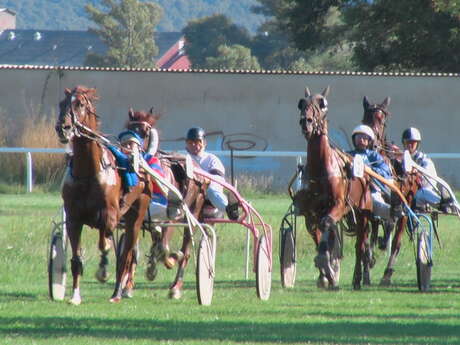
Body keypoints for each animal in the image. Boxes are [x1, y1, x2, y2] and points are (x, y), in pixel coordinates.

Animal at [55, 86, 153, 304]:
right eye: (61, 103)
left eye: (80, 104)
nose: (63, 127)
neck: (87, 173)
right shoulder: (74, 219)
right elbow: (76, 259)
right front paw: (75, 296)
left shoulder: (111, 215)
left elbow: (105, 242)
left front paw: (103, 269)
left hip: (136, 215)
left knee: (126, 255)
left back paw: (117, 292)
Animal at [124, 108, 207, 298]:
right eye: (128, 128)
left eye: (145, 131)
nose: (128, 149)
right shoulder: (139, 217)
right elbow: (134, 250)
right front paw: (127, 287)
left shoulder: (170, 217)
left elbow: (165, 248)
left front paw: (170, 259)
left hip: (193, 210)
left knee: (186, 249)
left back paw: (176, 286)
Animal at [292, 85, 376, 288]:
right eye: (301, 103)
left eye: (323, 104)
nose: (306, 121)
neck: (321, 167)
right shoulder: (311, 213)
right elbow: (318, 233)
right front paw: (325, 274)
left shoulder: (338, 204)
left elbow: (327, 224)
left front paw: (325, 263)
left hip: (363, 213)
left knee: (361, 245)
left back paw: (358, 278)